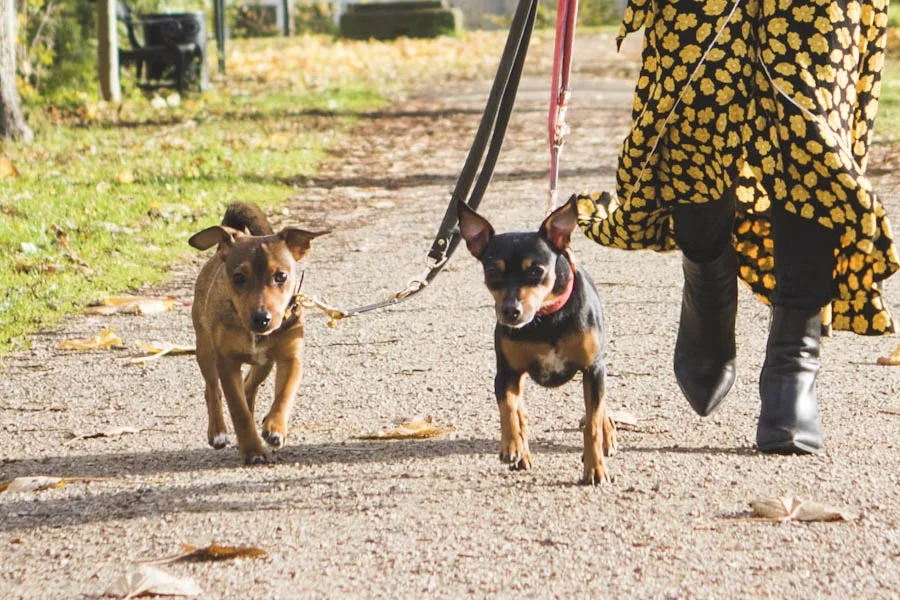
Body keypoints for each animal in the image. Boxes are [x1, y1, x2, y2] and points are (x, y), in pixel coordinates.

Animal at [189, 202, 326, 464]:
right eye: (238, 277)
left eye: (281, 276)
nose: (261, 318)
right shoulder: (227, 362)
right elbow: (238, 410)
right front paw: (252, 450)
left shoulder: (291, 358)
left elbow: (284, 394)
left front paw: (274, 428)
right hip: (205, 348)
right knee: (212, 390)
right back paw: (218, 433)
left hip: (264, 364)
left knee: (248, 386)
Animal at [460, 199, 616, 486]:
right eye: (492, 272)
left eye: (535, 271)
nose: (511, 311)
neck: (546, 320)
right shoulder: (506, 373)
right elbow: (508, 408)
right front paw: (512, 445)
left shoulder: (593, 369)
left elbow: (592, 422)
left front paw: (595, 468)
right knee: (519, 407)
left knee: (599, 407)